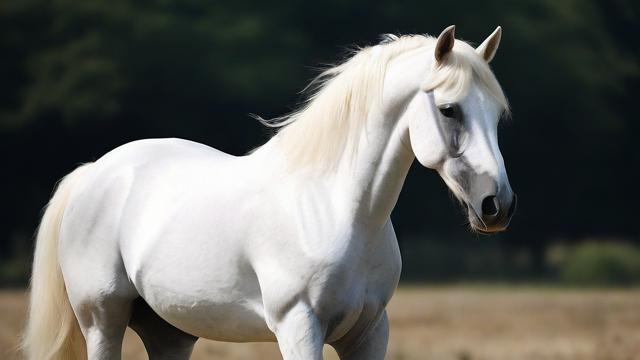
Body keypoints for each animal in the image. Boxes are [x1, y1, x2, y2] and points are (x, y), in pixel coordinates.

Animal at [23, 26, 516, 360]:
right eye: (449, 110)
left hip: (170, 331)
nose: (498, 206)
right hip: (102, 320)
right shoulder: (298, 327)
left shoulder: (370, 332)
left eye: (496, 115)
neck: (336, 208)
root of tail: (94, 172)